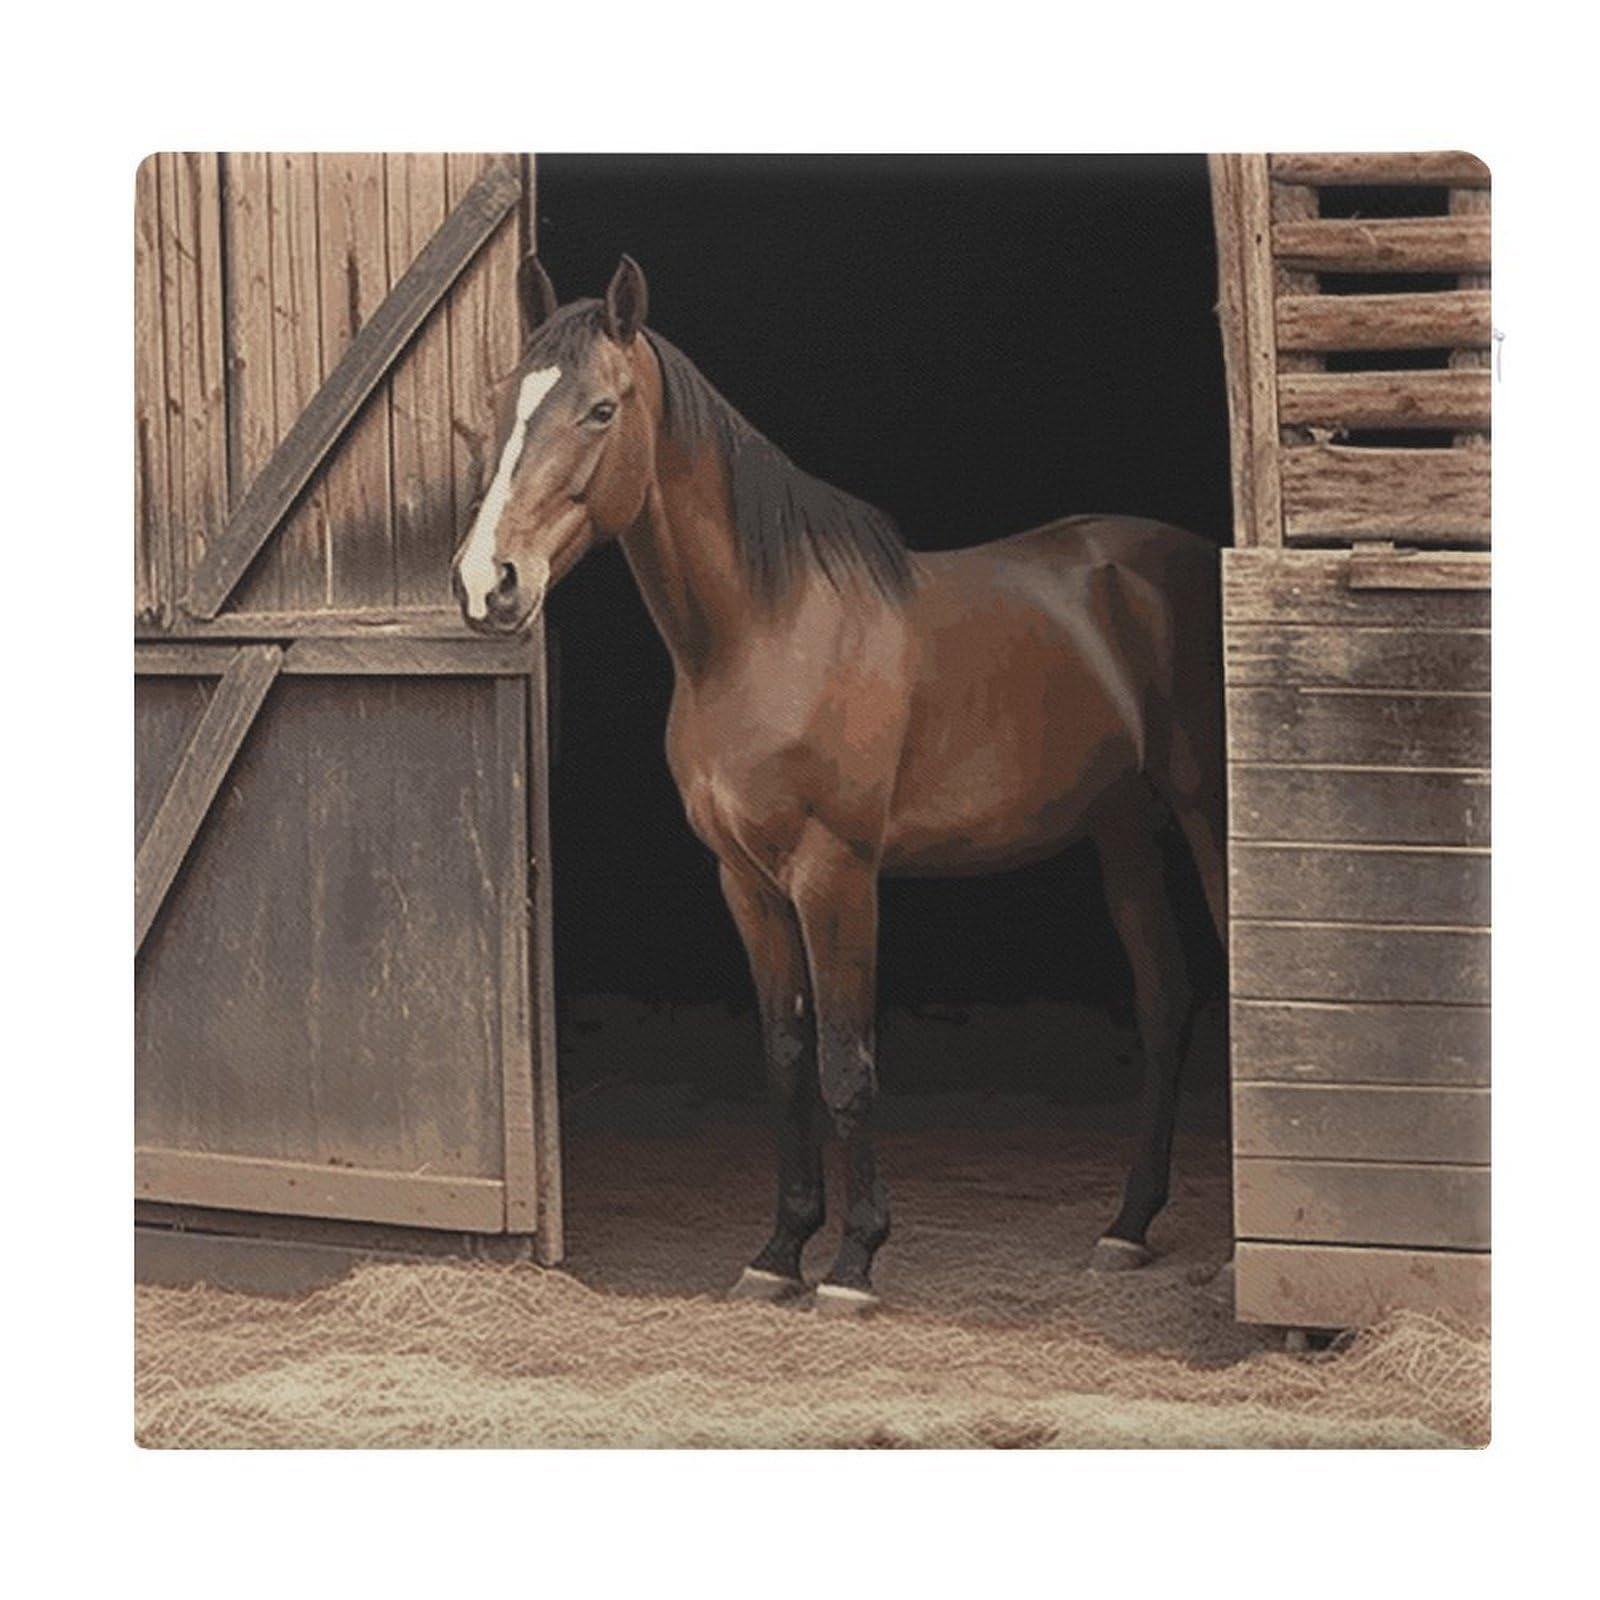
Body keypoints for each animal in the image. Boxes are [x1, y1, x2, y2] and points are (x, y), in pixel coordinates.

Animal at [453, 255, 1227, 1314]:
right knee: (1163, 1000)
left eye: (602, 409)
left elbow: (845, 1061)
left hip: (1209, 814)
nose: (486, 583)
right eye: (505, 404)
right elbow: (786, 1061)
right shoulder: (743, 880)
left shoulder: (837, 873)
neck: (768, 631)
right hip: (1121, 829)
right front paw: (780, 1251)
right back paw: (1127, 1226)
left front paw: (855, 1263)